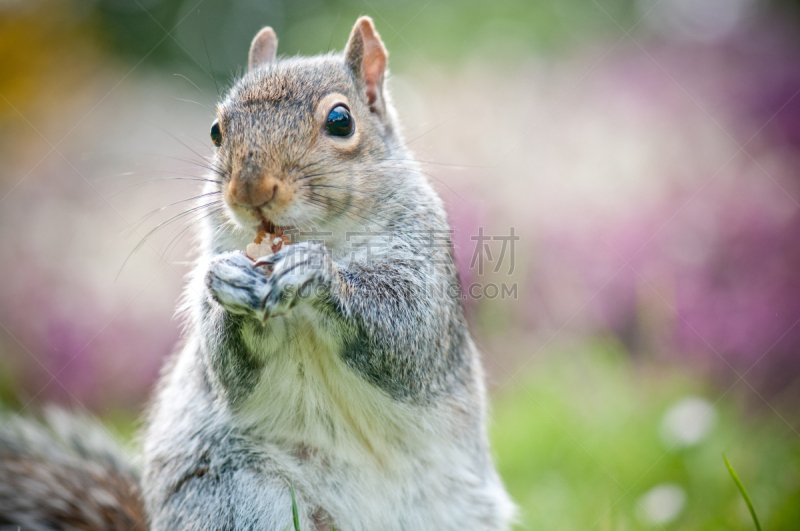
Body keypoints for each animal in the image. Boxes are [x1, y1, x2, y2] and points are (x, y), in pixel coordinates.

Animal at [0, 16, 512, 531]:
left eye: (341, 121)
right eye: (215, 130)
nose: (249, 189)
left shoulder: (424, 272)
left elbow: (406, 339)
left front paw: (317, 274)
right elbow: (226, 367)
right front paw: (229, 287)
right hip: (236, 496)